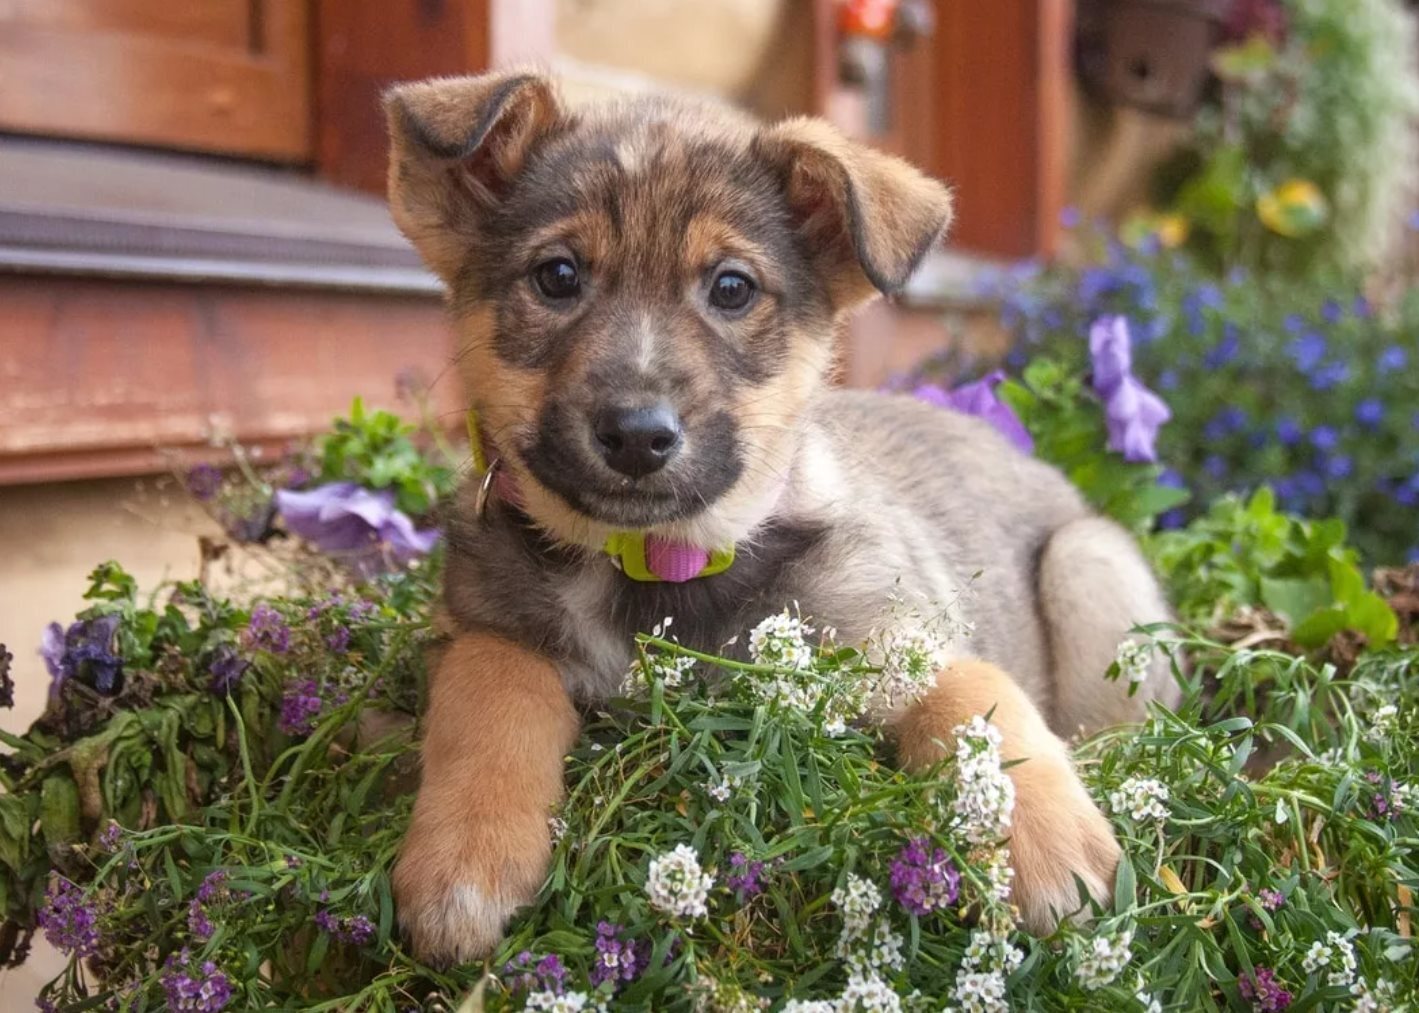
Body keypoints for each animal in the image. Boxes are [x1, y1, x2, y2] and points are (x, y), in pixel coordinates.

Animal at [380, 69, 1174, 964]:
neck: (653, 573)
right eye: (556, 275)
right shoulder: (482, 623)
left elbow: (981, 708)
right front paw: (463, 856)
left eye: (731, 288)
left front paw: (1044, 843)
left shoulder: (898, 638)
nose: (637, 435)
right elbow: (487, 687)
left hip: (1090, 562)